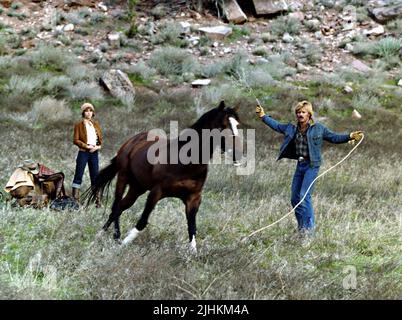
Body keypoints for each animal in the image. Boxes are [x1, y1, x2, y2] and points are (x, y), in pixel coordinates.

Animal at [87, 101, 243, 251]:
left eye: (237, 125)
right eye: (222, 126)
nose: (238, 154)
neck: (186, 163)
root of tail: (132, 141)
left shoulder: (193, 198)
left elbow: (192, 228)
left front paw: (192, 254)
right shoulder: (156, 192)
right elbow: (142, 221)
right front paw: (123, 245)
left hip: (137, 187)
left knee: (121, 206)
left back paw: (107, 236)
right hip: (123, 178)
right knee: (115, 207)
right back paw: (109, 236)